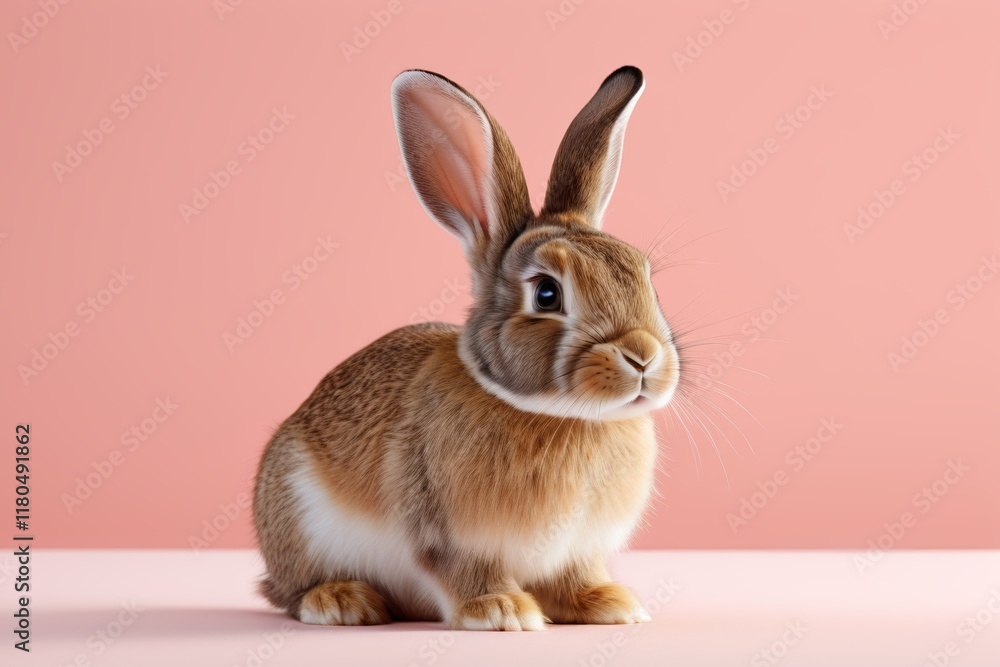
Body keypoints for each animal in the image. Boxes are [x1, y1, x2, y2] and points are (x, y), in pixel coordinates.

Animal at [252, 65, 679, 631]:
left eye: (646, 279)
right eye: (547, 294)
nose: (643, 356)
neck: (564, 416)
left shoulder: (577, 550)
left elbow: (576, 577)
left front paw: (612, 604)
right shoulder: (445, 533)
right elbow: (467, 573)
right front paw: (502, 612)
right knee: (292, 591)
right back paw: (342, 601)